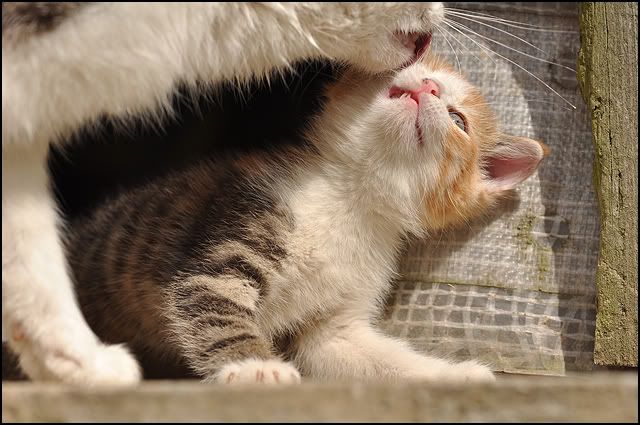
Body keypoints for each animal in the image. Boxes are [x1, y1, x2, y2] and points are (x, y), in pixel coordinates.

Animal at [63, 55, 548, 384]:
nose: (427, 86)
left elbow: (363, 353)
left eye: (457, 120)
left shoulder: (334, 323)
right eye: (416, 65)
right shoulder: (230, 242)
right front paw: (255, 366)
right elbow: (215, 307)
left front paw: (452, 375)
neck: (351, 198)